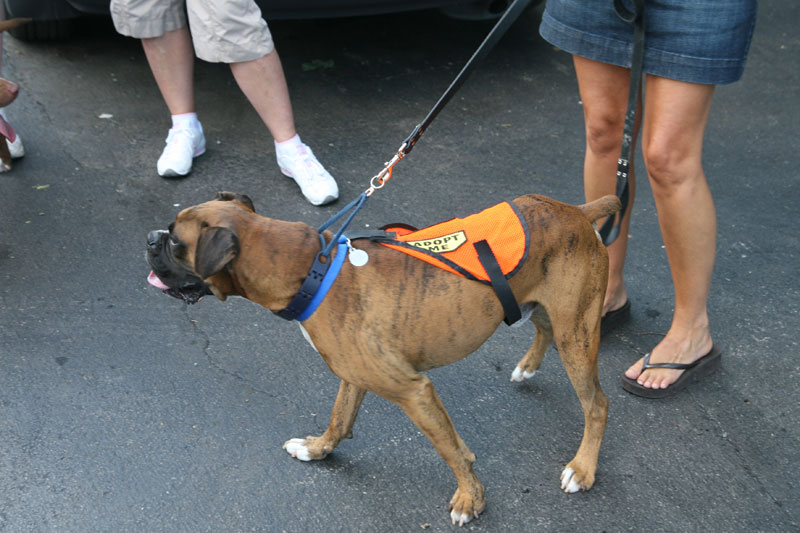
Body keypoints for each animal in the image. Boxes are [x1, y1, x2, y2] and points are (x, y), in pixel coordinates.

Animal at [148, 190, 620, 524]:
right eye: (167, 234)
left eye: (176, 243)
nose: (151, 238)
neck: (311, 268)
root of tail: (576, 210)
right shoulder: (354, 375)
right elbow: (340, 419)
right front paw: (317, 451)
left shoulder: (415, 392)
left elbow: (451, 450)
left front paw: (470, 498)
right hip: (545, 311)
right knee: (543, 329)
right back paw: (528, 366)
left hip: (577, 335)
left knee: (597, 404)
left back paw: (582, 468)